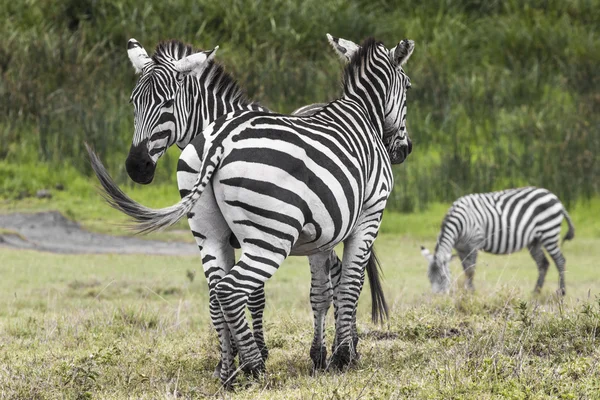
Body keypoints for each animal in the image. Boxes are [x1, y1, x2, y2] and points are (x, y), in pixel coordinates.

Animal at [89, 34, 414, 382]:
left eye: (166, 102)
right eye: (134, 103)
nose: (137, 167)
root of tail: (219, 142)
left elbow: (278, 294)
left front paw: (255, 353)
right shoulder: (367, 213)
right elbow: (343, 284)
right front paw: (276, 354)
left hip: (255, 233)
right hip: (279, 234)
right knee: (236, 290)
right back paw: (261, 365)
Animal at [420, 187, 576, 294]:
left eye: (442, 277)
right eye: (429, 277)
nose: (437, 297)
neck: (459, 224)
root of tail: (555, 198)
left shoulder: (473, 243)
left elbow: (471, 270)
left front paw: (471, 292)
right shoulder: (461, 248)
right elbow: (465, 269)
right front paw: (468, 290)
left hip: (548, 232)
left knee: (560, 260)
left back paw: (561, 291)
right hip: (534, 240)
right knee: (543, 263)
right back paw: (535, 292)